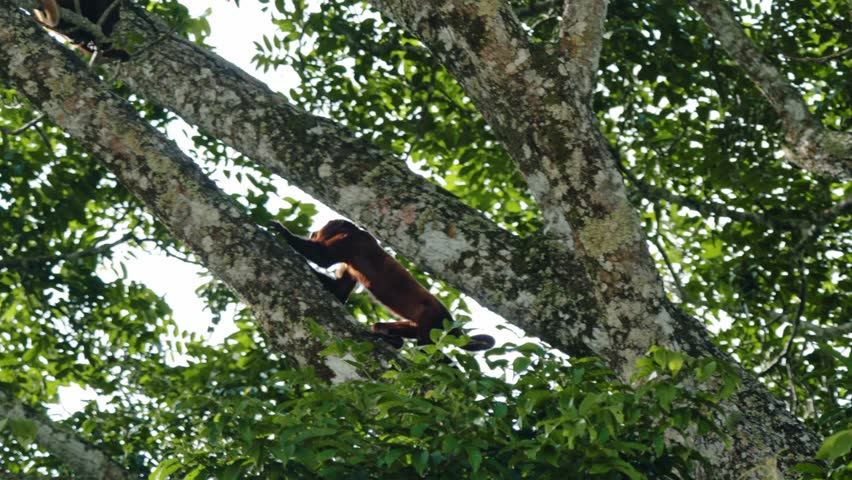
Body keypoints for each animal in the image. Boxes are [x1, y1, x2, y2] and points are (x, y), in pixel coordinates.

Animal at [269, 220, 496, 352]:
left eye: (319, 231)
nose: (314, 231)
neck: (356, 231)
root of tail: (450, 319)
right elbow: (339, 291)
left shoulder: (352, 241)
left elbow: (321, 257)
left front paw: (282, 231)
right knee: (384, 327)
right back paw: (389, 338)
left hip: (431, 320)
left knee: (426, 347)